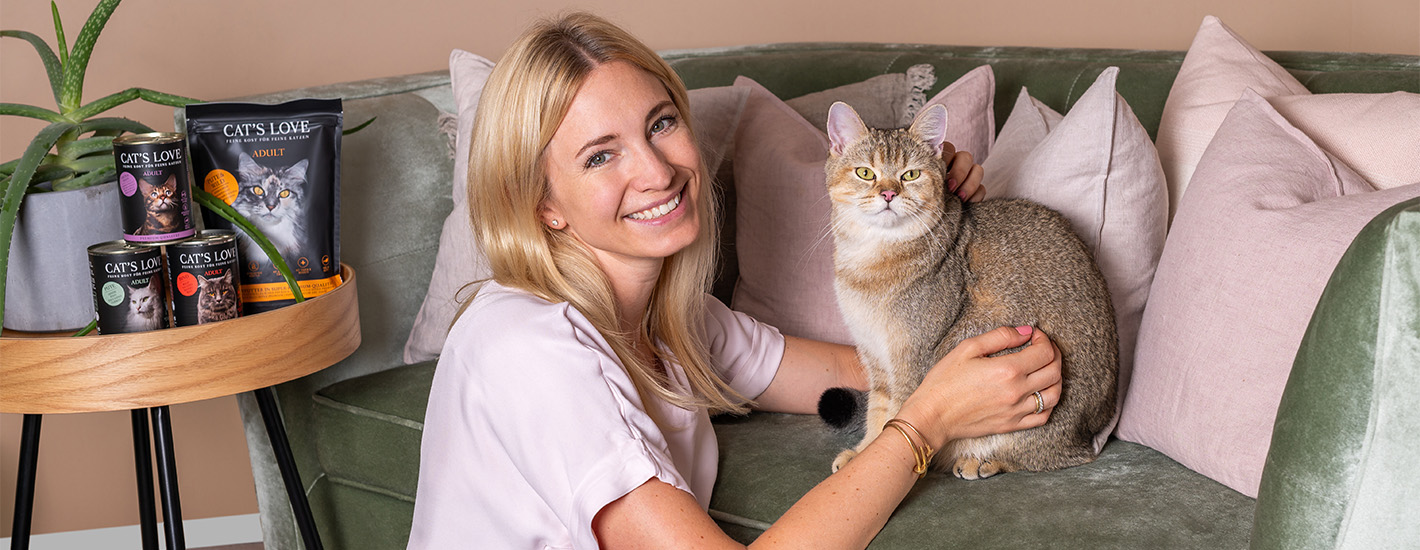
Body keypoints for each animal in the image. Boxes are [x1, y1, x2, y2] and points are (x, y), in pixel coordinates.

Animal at [823, 100, 1118, 480]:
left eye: (910, 175)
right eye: (865, 173)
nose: (888, 194)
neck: (868, 263)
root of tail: (1092, 430)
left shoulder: (912, 360)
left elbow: (896, 416)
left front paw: (873, 460)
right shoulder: (876, 360)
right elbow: (878, 412)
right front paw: (864, 452)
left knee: (1062, 457)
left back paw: (982, 460)